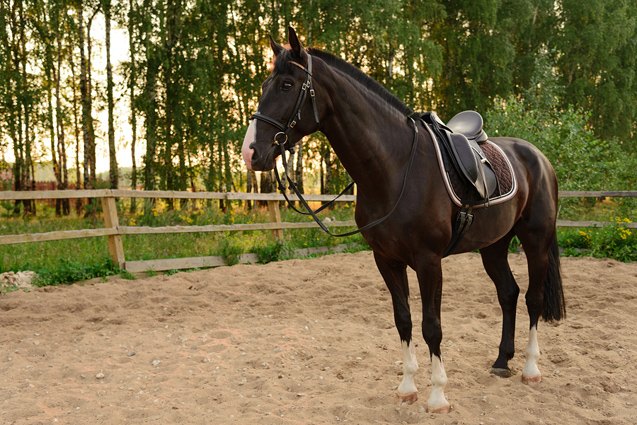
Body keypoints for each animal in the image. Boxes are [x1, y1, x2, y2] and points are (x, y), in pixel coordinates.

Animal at [241, 26, 564, 410]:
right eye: (265, 85)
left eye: (287, 85)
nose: (250, 152)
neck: (394, 167)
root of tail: (538, 157)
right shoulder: (386, 260)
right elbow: (404, 320)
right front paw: (407, 387)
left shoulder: (428, 261)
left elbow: (431, 326)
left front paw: (437, 396)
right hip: (494, 246)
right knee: (508, 294)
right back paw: (502, 361)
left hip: (535, 240)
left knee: (532, 299)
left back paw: (530, 368)